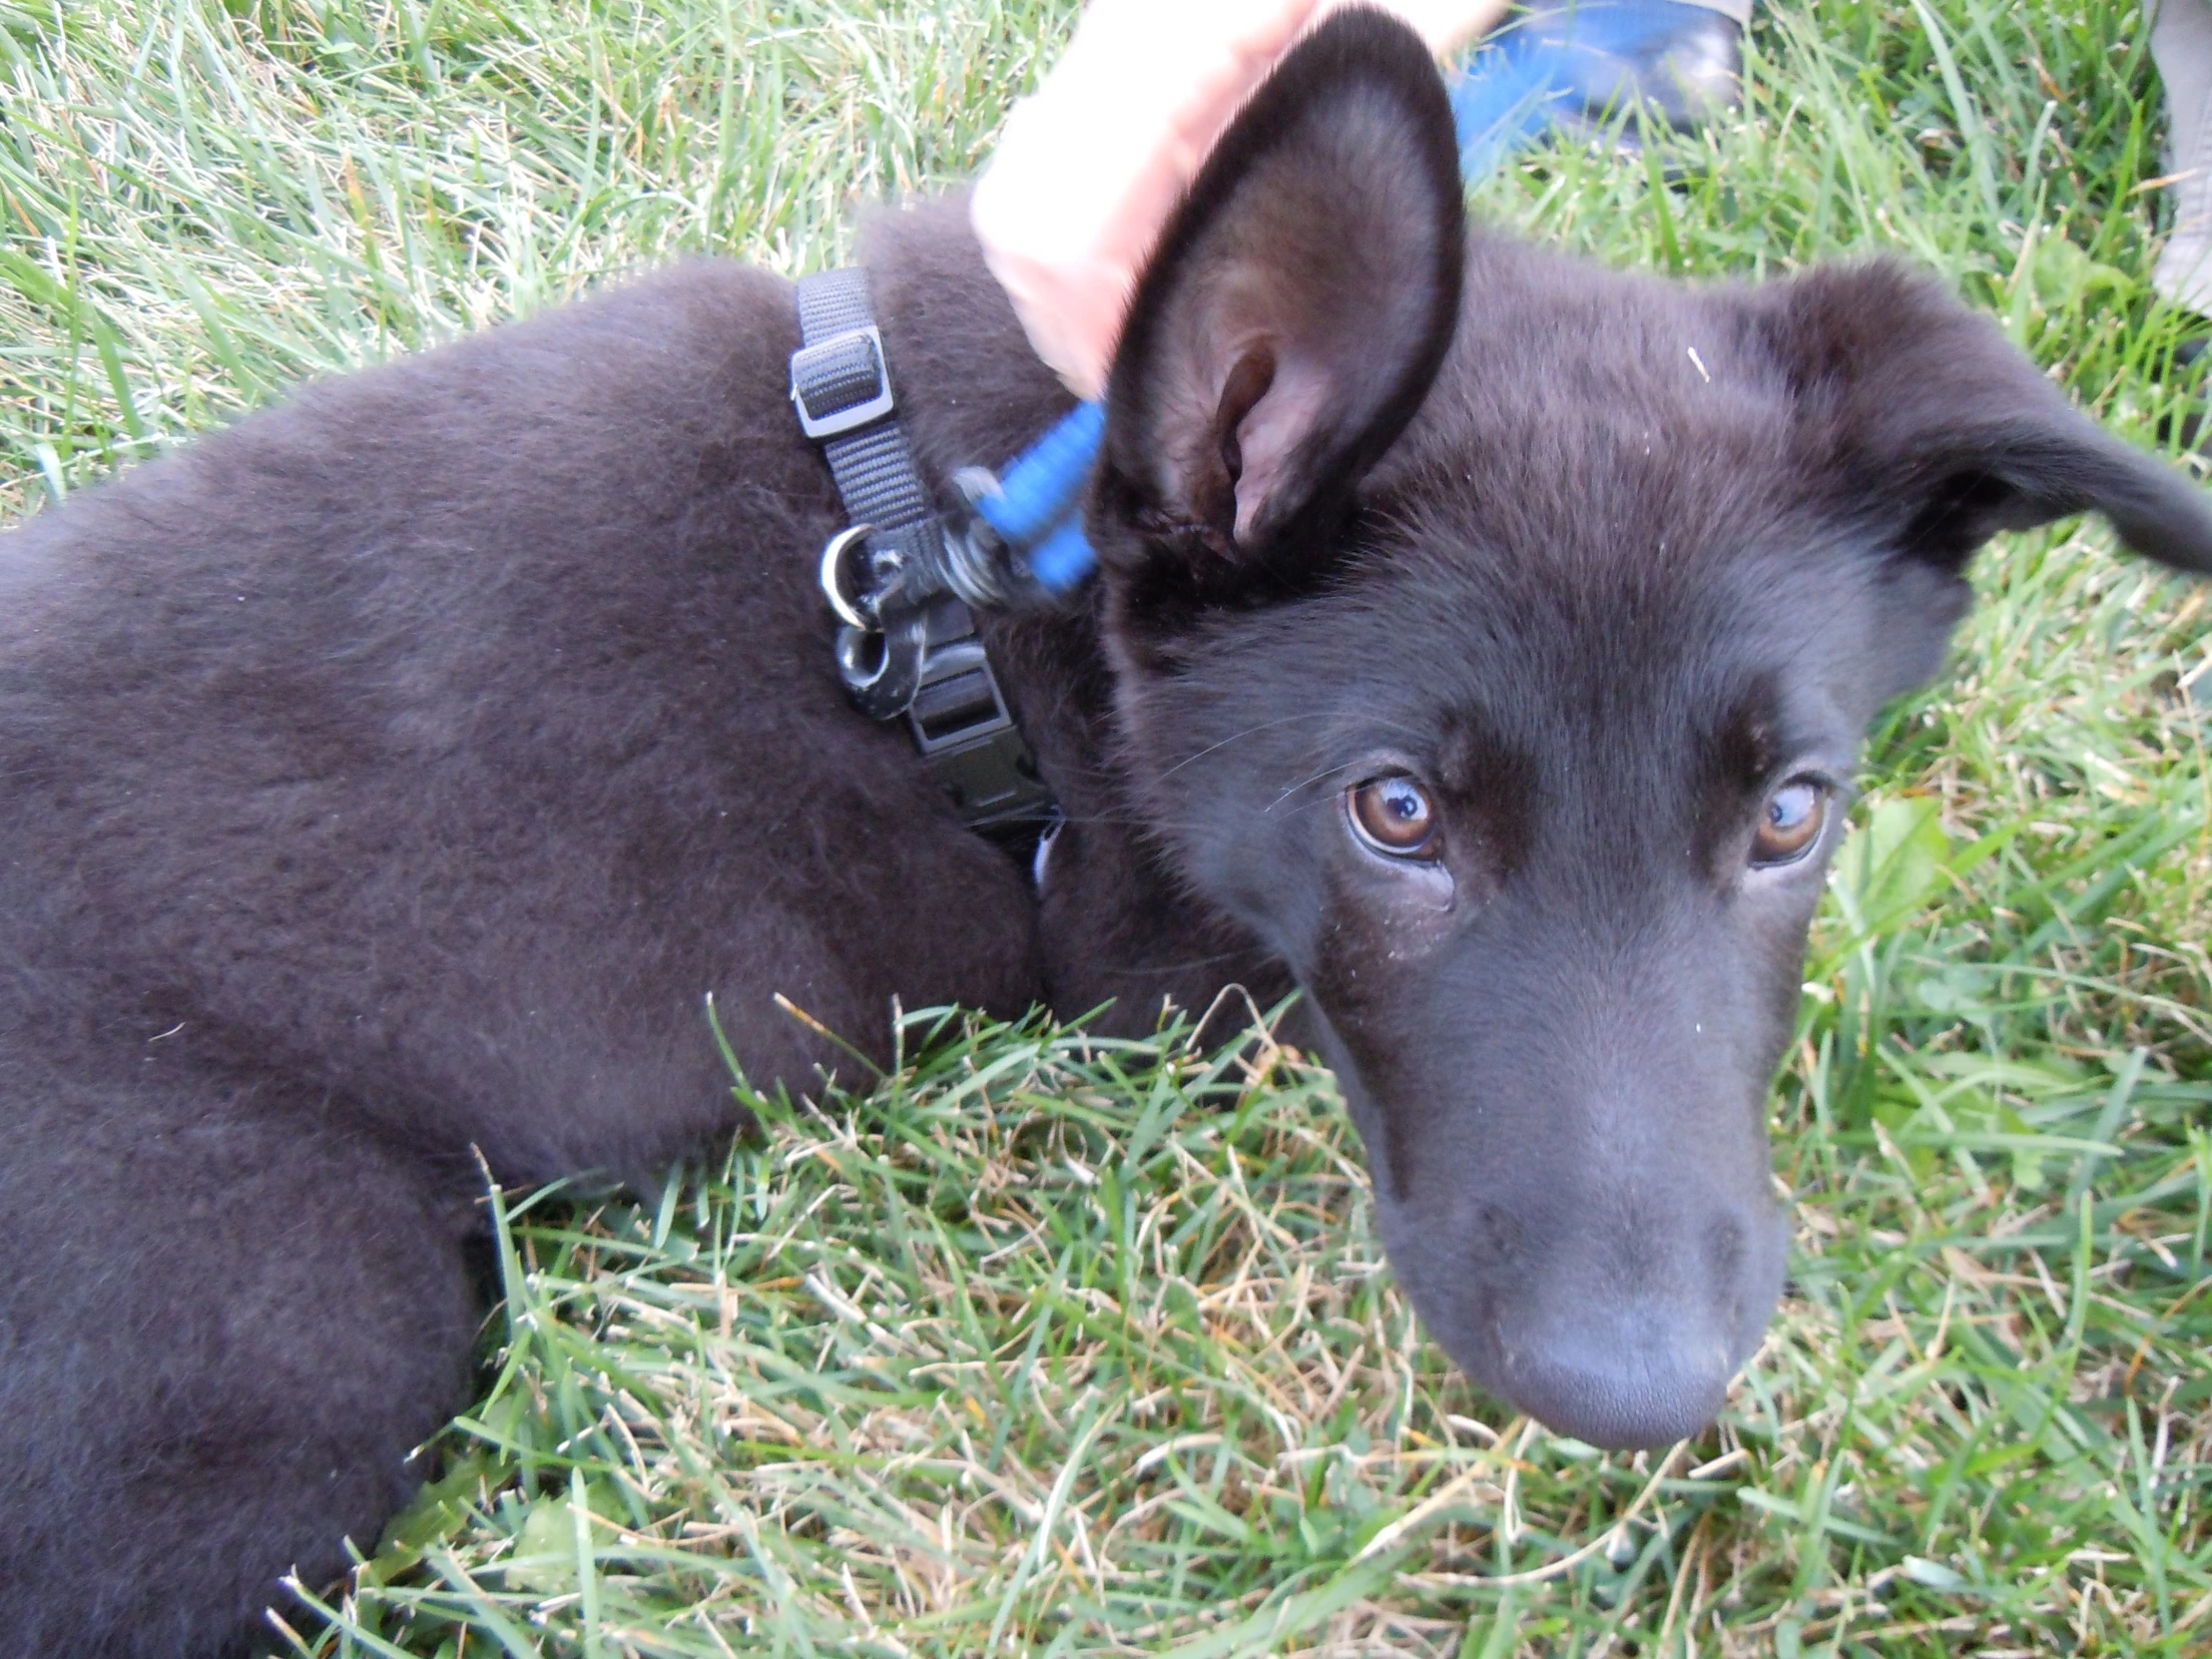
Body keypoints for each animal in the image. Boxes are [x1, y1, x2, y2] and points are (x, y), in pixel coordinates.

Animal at [4, 13, 2212, 1659]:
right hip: (289, 1335)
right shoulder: (1172, 973)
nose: (1637, 1395)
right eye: (1394, 814)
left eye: (1786, 815)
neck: (974, 577)